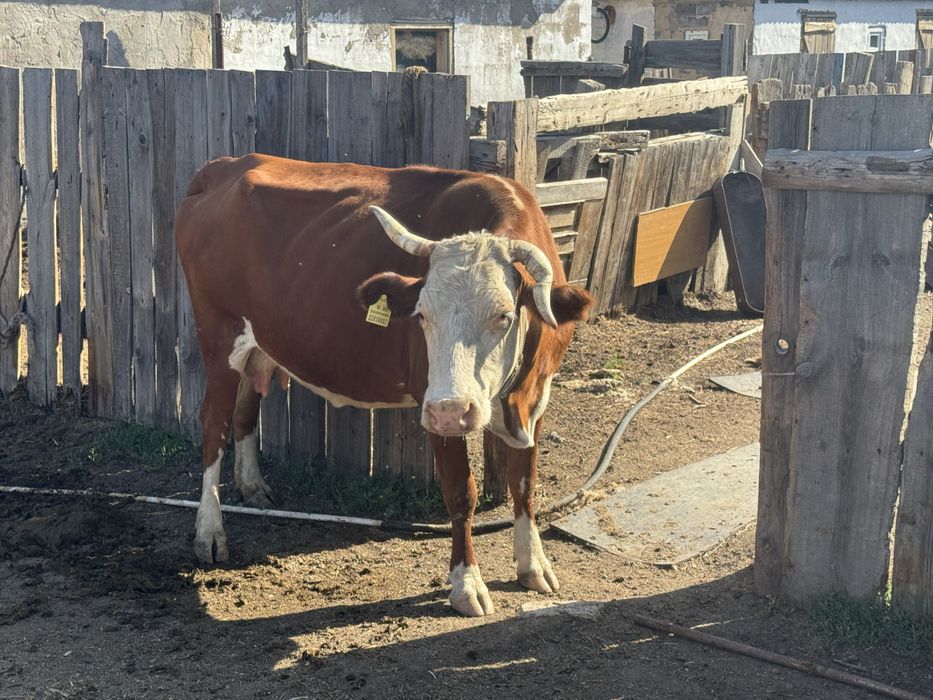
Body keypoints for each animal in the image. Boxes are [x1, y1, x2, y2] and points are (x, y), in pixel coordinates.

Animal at [175, 154, 593, 616]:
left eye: (503, 315)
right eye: (422, 315)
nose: (452, 410)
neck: (514, 397)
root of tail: (226, 165)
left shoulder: (536, 400)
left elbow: (525, 484)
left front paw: (533, 564)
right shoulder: (433, 403)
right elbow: (460, 494)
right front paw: (466, 584)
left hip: (259, 341)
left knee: (245, 409)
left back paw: (253, 487)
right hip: (219, 336)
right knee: (214, 425)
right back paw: (210, 532)